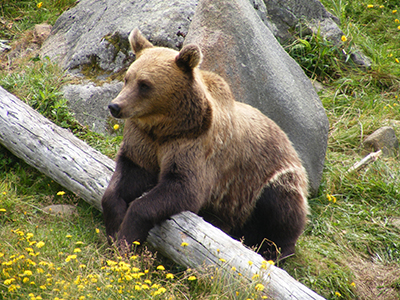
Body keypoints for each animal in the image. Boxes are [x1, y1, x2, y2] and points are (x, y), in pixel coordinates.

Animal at [101, 27, 308, 258]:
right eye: (127, 78)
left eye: (145, 84)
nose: (115, 106)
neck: (166, 126)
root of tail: (290, 144)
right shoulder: (144, 140)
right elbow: (126, 175)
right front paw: (115, 224)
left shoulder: (194, 146)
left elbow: (182, 187)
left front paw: (127, 238)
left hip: (266, 178)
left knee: (280, 205)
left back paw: (274, 250)